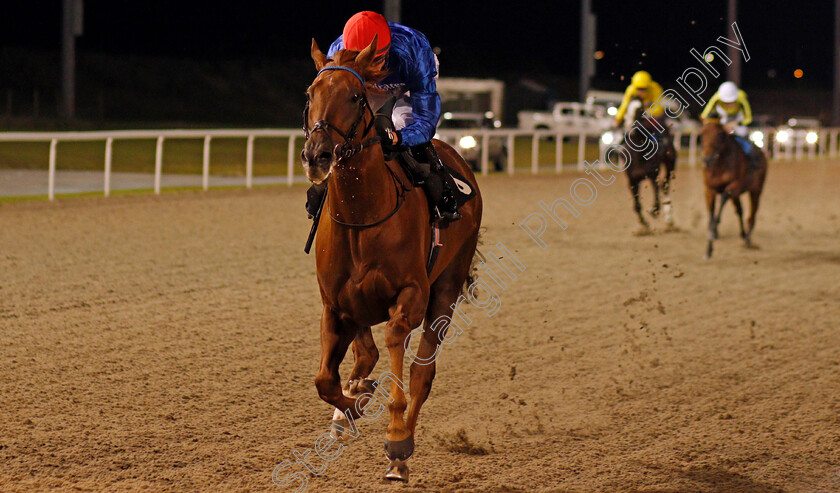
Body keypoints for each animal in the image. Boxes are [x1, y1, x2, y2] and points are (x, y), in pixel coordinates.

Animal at [300, 37, 486, 480]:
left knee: (422, 371)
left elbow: (397, 344)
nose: (317, 155)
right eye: (310, 94)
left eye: (354, 96)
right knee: (364, 354)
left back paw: (400, 452)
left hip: (446, 287)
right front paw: (350, 406)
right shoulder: (335, 305)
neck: (361, 215)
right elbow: (324, 380)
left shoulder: (411, 295)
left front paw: (395, 435)